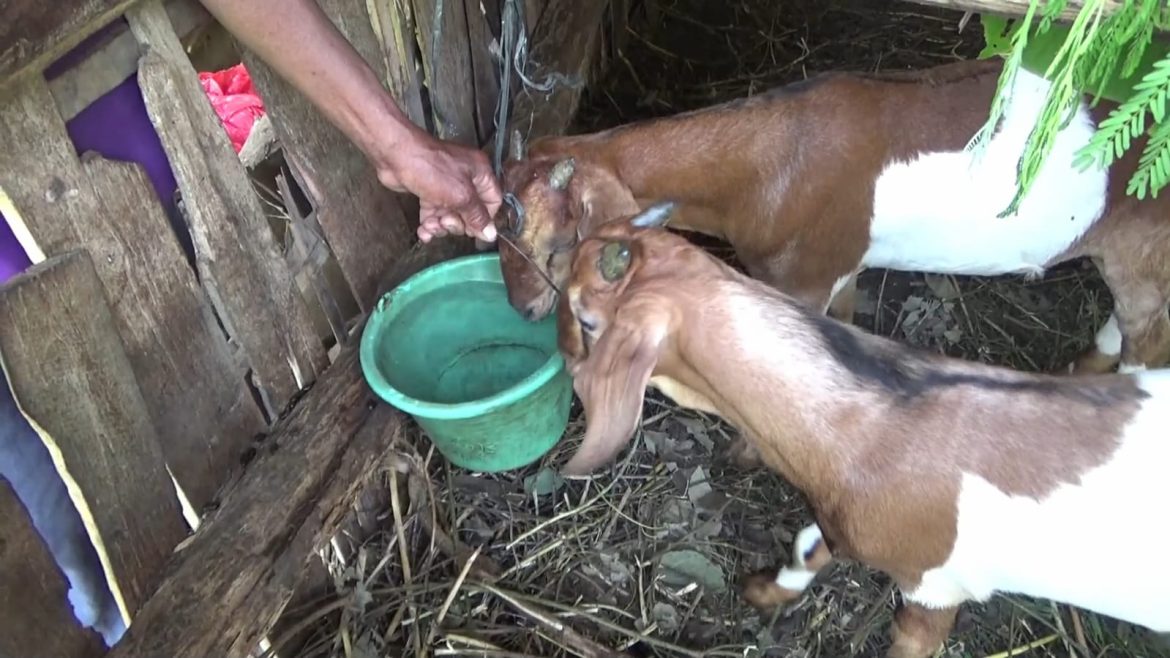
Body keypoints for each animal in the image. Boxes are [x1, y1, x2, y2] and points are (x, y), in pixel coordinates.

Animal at [498, 57, 1170, 374]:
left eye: (557, 243)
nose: (522, 310)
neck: (766, 168)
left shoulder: (802, 279)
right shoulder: (841, 263)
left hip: (1143, 249)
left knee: (1149, 335)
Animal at [554, 201, 1170, 655]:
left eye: (586, 319)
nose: (561, 349)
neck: (874, 427)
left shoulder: (935, 584)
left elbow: (913, 640)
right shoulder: (840, 516)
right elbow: (809, 545)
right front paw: (765, 591)